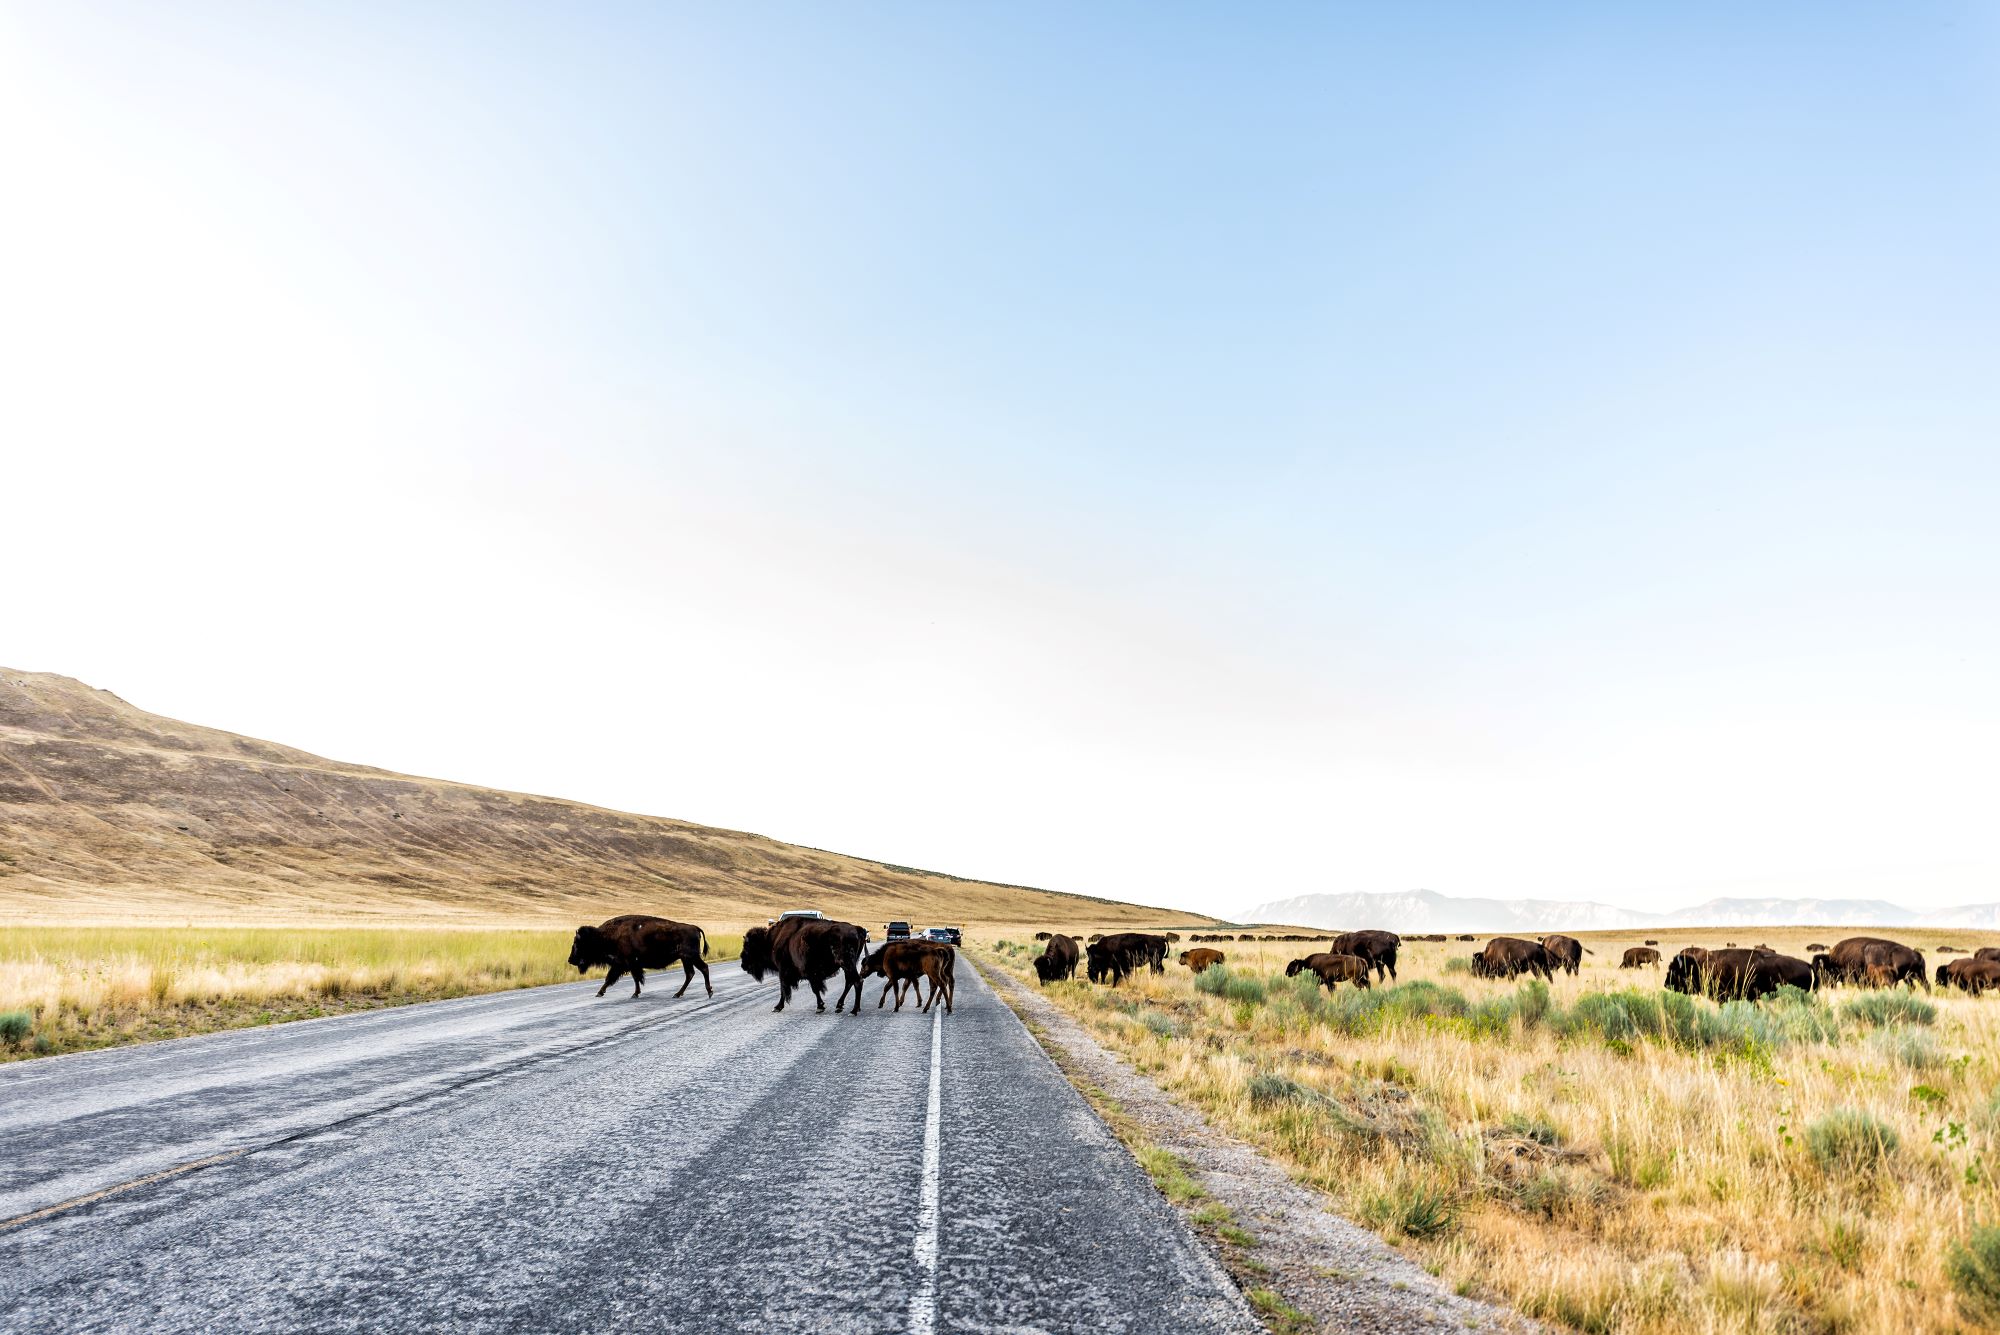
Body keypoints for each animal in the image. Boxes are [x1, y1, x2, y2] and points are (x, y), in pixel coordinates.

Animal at [572, 911, 712, 995]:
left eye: (578, 944)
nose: (570, 960)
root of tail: (694, 927)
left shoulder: (626, 963)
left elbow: (629, 977)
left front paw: (634, 994)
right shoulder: (623, 964)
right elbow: (617, 978)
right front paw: (600, 993)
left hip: (690, 957)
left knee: (701, 969)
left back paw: (706, 992)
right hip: (686, 959)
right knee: (691, 973)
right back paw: (679, 994)